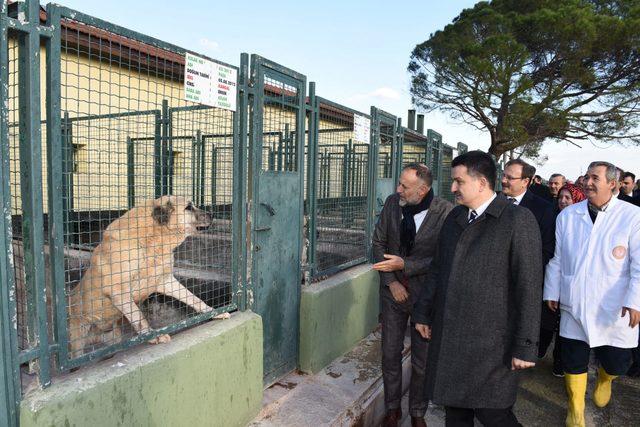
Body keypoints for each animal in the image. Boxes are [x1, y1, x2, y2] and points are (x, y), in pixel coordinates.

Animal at [67, 196, 218, 358]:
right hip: (78, 343)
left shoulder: (166, 281)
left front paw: (211, 311)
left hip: (114, 341)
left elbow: (193, 298)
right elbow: (139, 318)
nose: (212, 214)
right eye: (188, 207)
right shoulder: (118, 291)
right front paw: (153, 336)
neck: (154, 240)